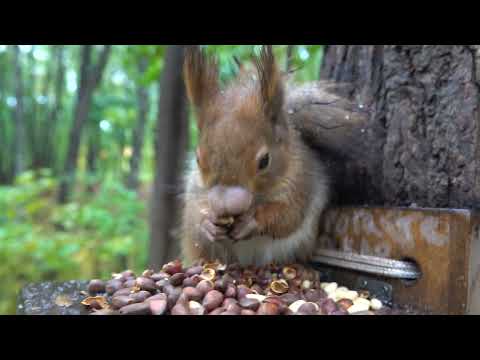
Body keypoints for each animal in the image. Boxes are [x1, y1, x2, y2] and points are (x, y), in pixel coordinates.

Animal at [180, 45, 330, 266]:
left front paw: (251, 222)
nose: (225, 204)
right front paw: (207, 222)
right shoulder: (194, 187)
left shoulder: (302, 183)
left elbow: (288, 214)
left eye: (265, 161)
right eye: (198, 159)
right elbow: (194, 210)